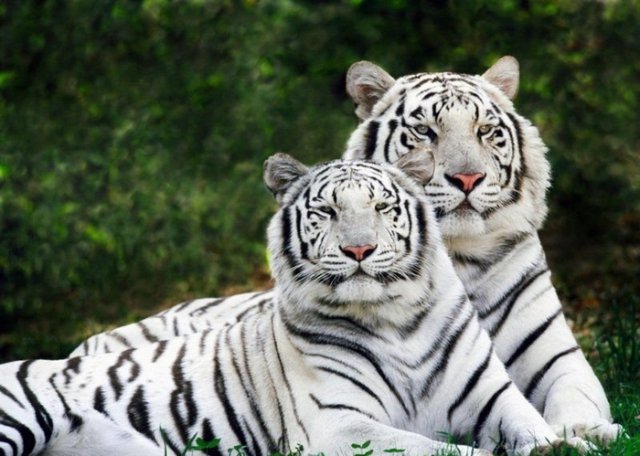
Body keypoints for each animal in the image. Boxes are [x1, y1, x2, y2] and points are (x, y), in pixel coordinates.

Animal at [0, 154, 591, 456]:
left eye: (382, 207)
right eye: (327, 212)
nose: (359, 250)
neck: (397, 321)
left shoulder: (493, 399)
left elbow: (534, 429)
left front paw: (570, 444)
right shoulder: (340, 425)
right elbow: (445, 451)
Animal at [70, 56, 622, 443]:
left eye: (486, 131)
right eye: (425, 131)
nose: (467, 178)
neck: (458, 257)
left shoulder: (557, 357)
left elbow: (577, 397)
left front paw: (589, 432)